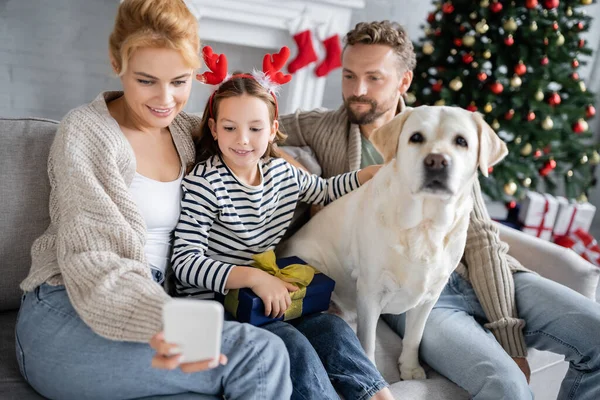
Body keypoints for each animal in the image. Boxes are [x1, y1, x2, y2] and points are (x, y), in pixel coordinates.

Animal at [278, 104, 508, 380]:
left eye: (461, 141)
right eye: (416, 137)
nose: (437, 161)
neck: (424, 225)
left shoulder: (429, 297)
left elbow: (414, 337)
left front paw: (410, 368)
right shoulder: (370, 292)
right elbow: (367, 342)